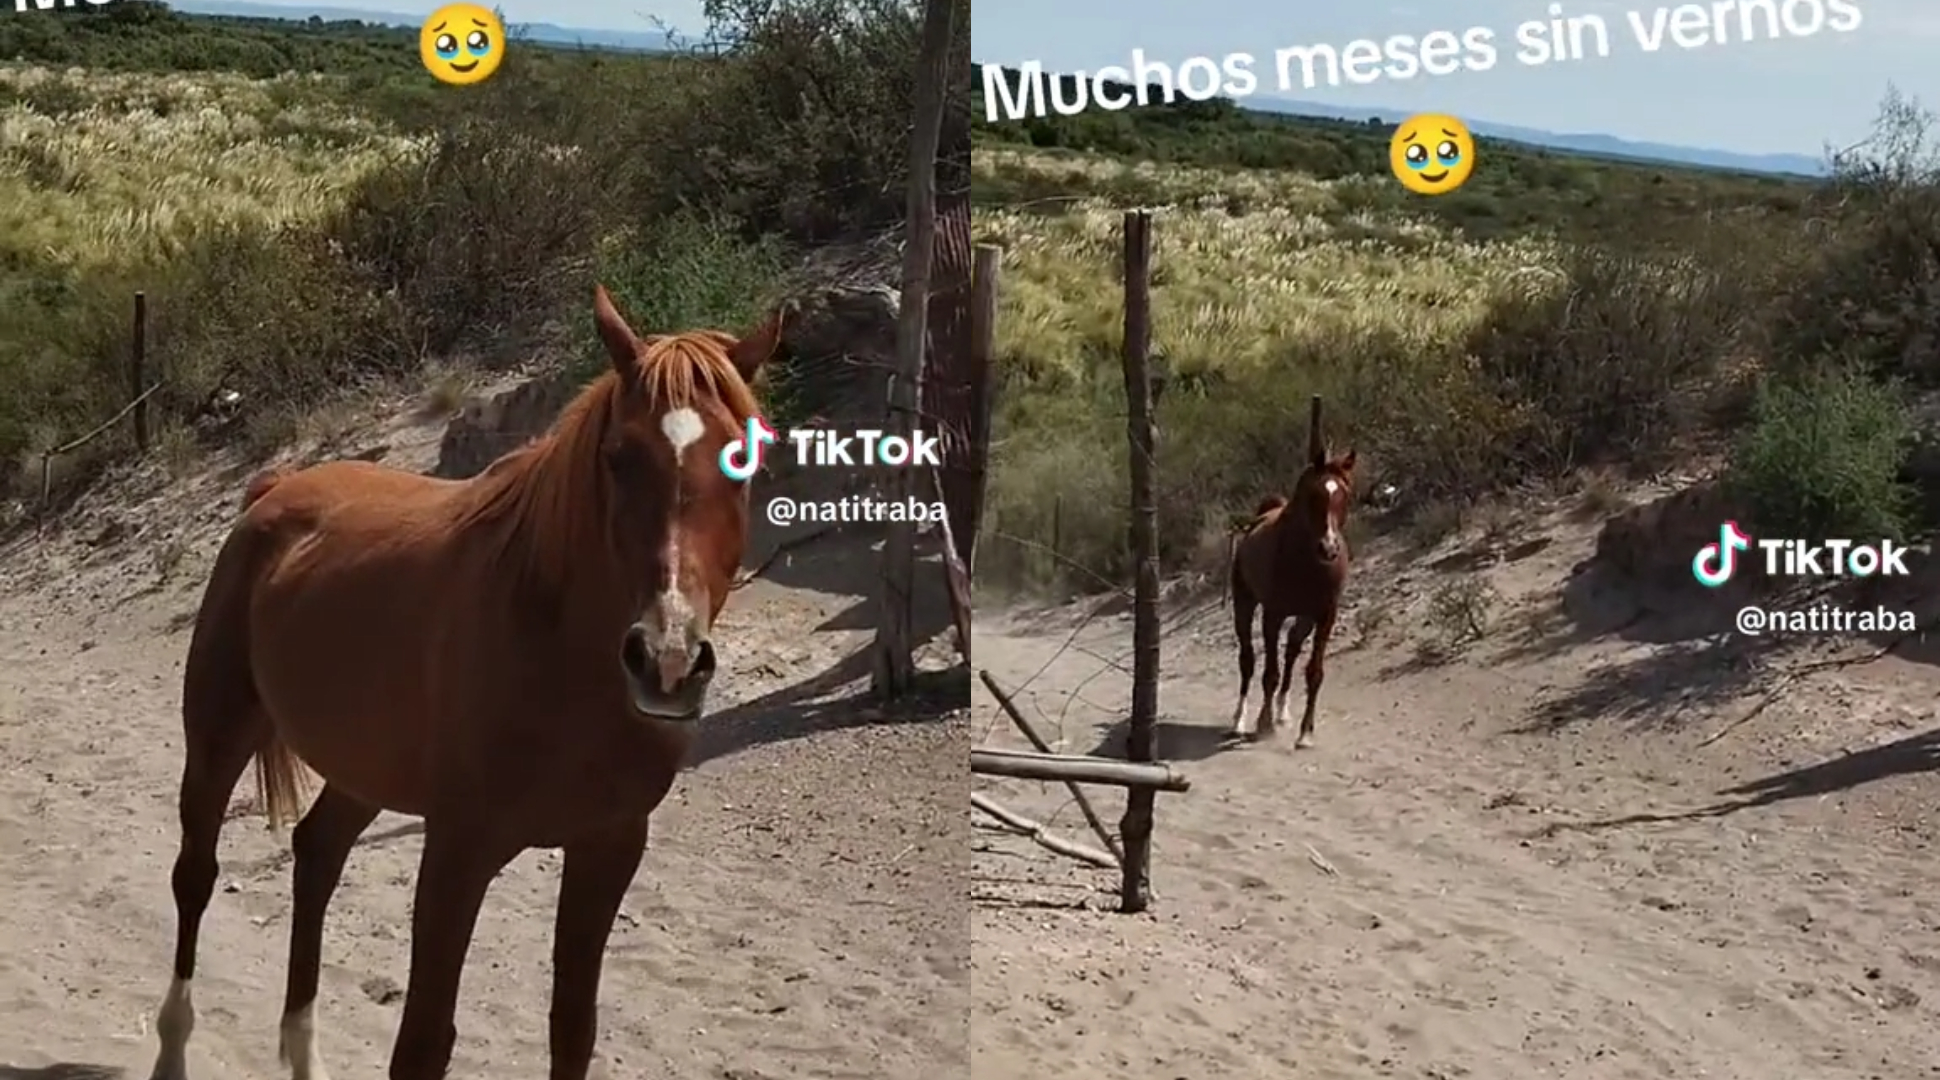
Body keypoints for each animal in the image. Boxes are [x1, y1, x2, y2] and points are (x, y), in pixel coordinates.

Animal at [149, 285, 787, 1078]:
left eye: (745, 460)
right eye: (618, 457)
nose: (666, 660)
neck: (559, 659)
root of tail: (273, 490)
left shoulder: (608, 847)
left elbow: (572, 1031)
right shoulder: (458, 851)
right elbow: (424, 1041)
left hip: (361, 770)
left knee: (317, 857)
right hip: (218, 737)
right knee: (196, 876)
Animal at [1226, 397, 1350, 748]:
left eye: (1344, 496)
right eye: (1313, 495)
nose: (1329, 549)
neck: (1305, 561)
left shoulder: (1324, 616)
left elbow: (1314, 672)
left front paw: (1306, 732)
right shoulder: (1273, 614)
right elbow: (1268, 672)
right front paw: (1263, 723)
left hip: (1304, 617)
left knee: (1293, 652)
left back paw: (1283, 712)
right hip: (1244, 605)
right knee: (1248, 660)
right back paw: (1240, 719)